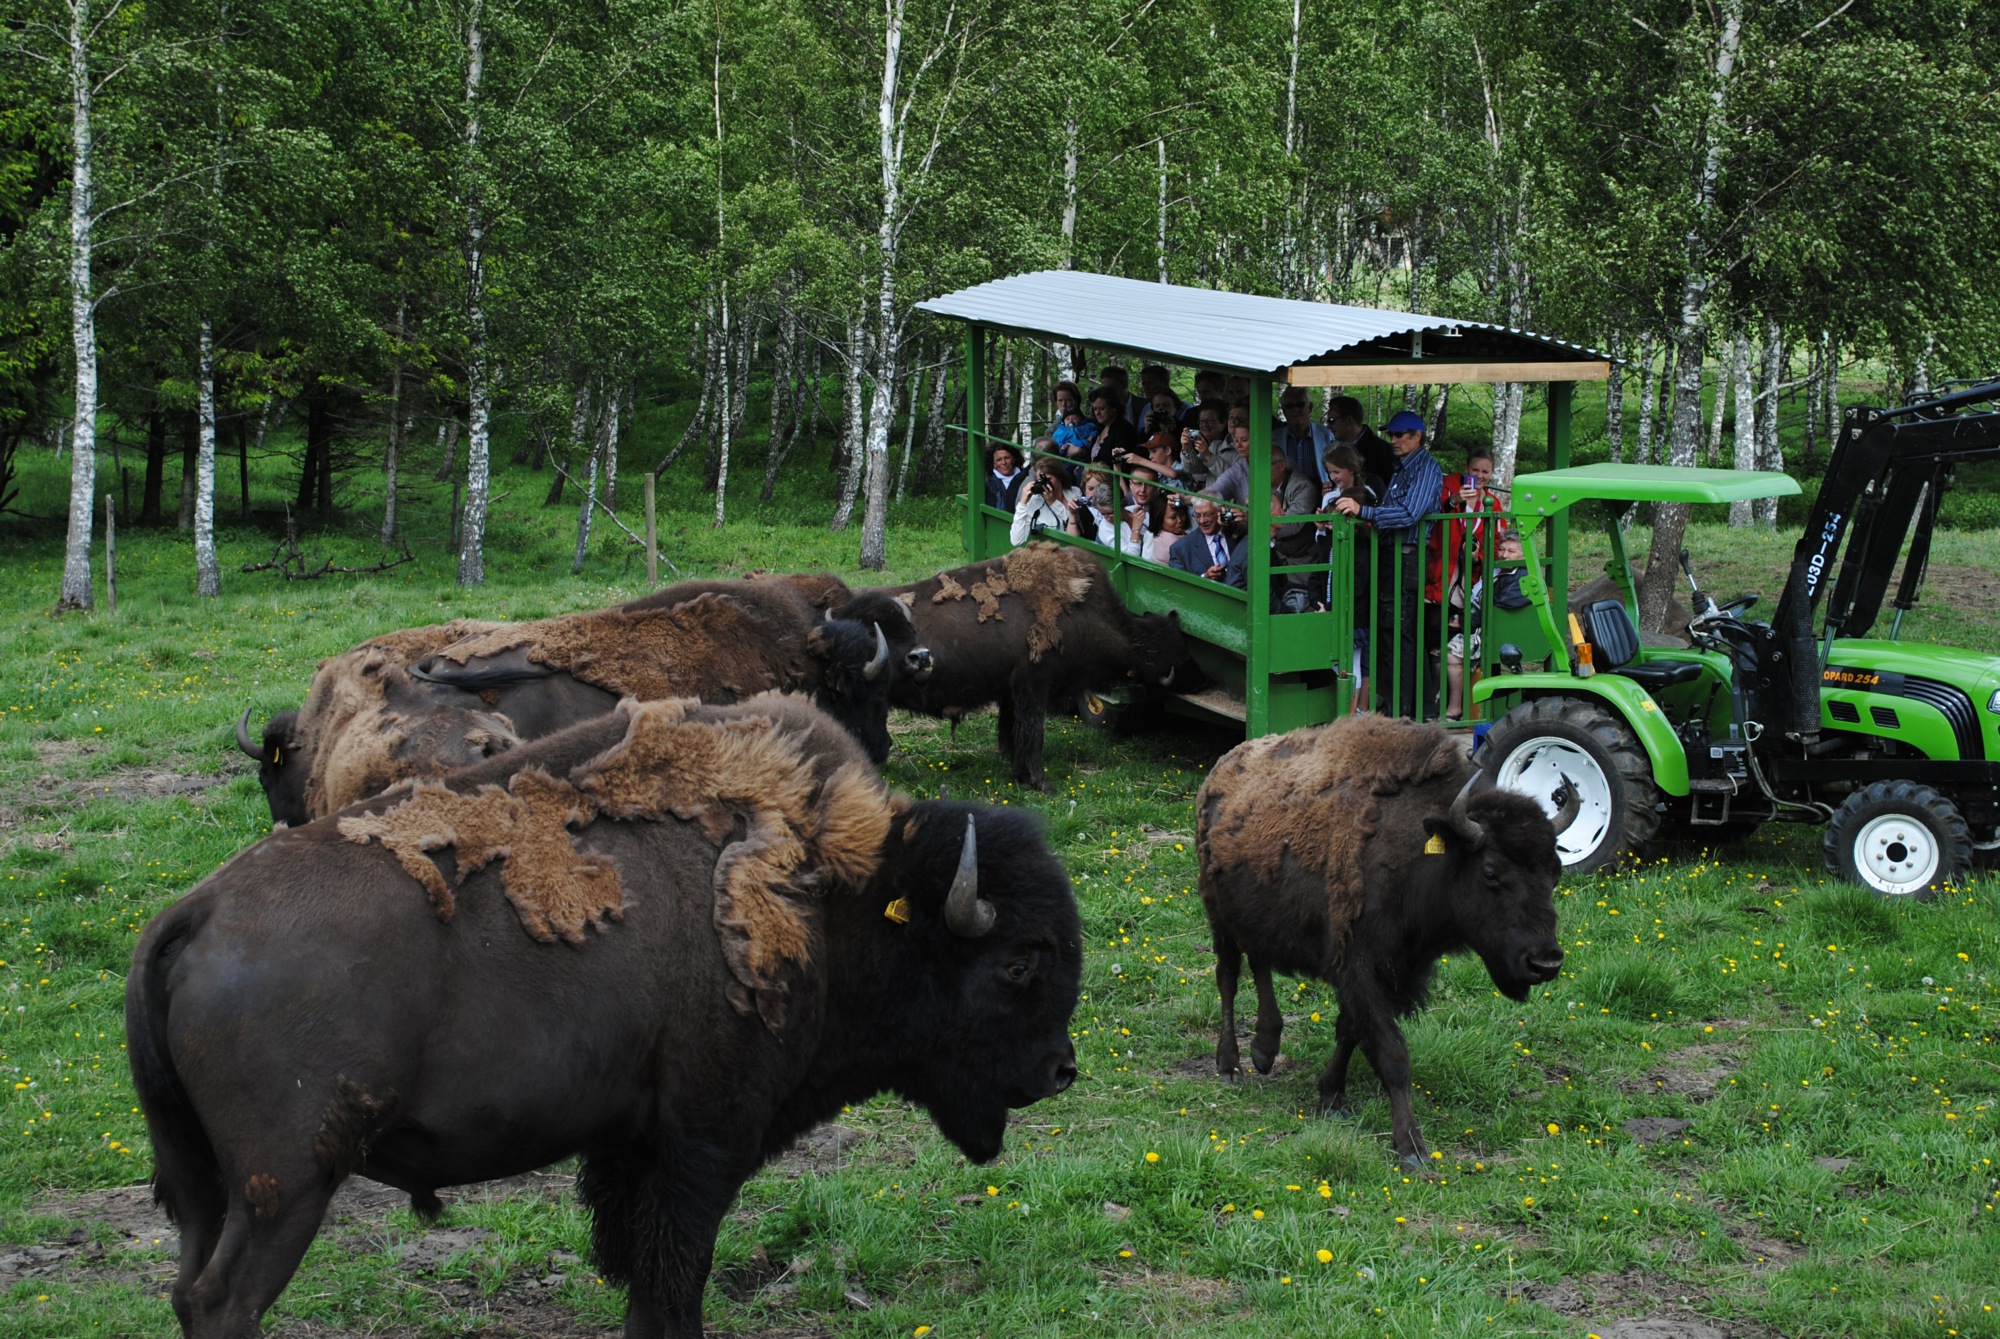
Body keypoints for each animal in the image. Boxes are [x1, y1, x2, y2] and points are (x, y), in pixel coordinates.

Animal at [131, 692, 1082, 1339]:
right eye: (1019, 962)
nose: (1059, 1069)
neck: (838, 895)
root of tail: (192, 915)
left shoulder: (627, 1146)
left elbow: (640, 1274)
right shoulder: (702, 1142)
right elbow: (675, 1275)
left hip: (204, 1184)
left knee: (186, 1287)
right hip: (285, 1186)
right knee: (224, 1299)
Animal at [840, 543, 1189, 790]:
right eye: (1169, 647)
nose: (1189, 678)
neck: (1084, 612)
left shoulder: (1010, 692)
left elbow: (1013, 732)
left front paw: (1019, 774)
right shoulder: (1033, 686)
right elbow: (1033, 734)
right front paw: (1043, 784)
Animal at [1195, 714, 1574, 1165]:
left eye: (1555, 871)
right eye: (1491, 872)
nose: (1545, 962)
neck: (1420, 853)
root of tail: (1222, 769)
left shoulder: (1388, 969)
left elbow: (1349, 1031)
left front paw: (1332, 1097)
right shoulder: (1359, 967)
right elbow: (1392, 1053)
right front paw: (1411, 1146)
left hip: (1260, 915)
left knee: (1260, 964)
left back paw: (1265, 1051)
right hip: (1219, 918)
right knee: (1228, 978)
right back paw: (1229, 1066)